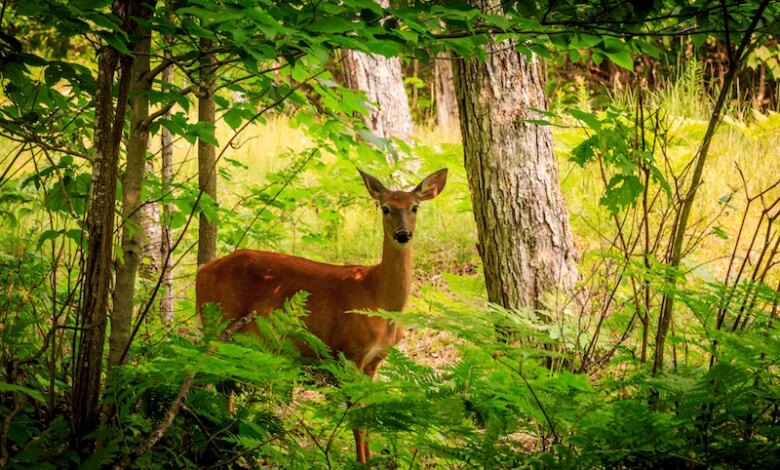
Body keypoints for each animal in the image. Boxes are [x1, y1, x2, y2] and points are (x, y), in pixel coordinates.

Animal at [195, 166, 448, 462]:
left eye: (414, 207)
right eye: (385, 208)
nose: (403, 234)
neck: (377, 297)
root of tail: (202, 270)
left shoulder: (374, 362)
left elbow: (367, 416)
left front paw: (370, 460)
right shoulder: (350, 352)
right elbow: (356, 420)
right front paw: (360, 463)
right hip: (217, 324)